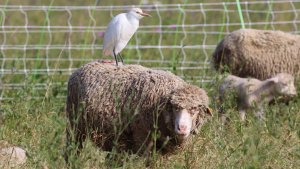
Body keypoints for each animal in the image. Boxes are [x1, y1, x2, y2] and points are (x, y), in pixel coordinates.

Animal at [65, 60, 211, 160]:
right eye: (174, 107)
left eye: (195, 109)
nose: (182, 129)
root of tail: (85, 65)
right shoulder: (142, 138)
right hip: (75, 128)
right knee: (72, 150)